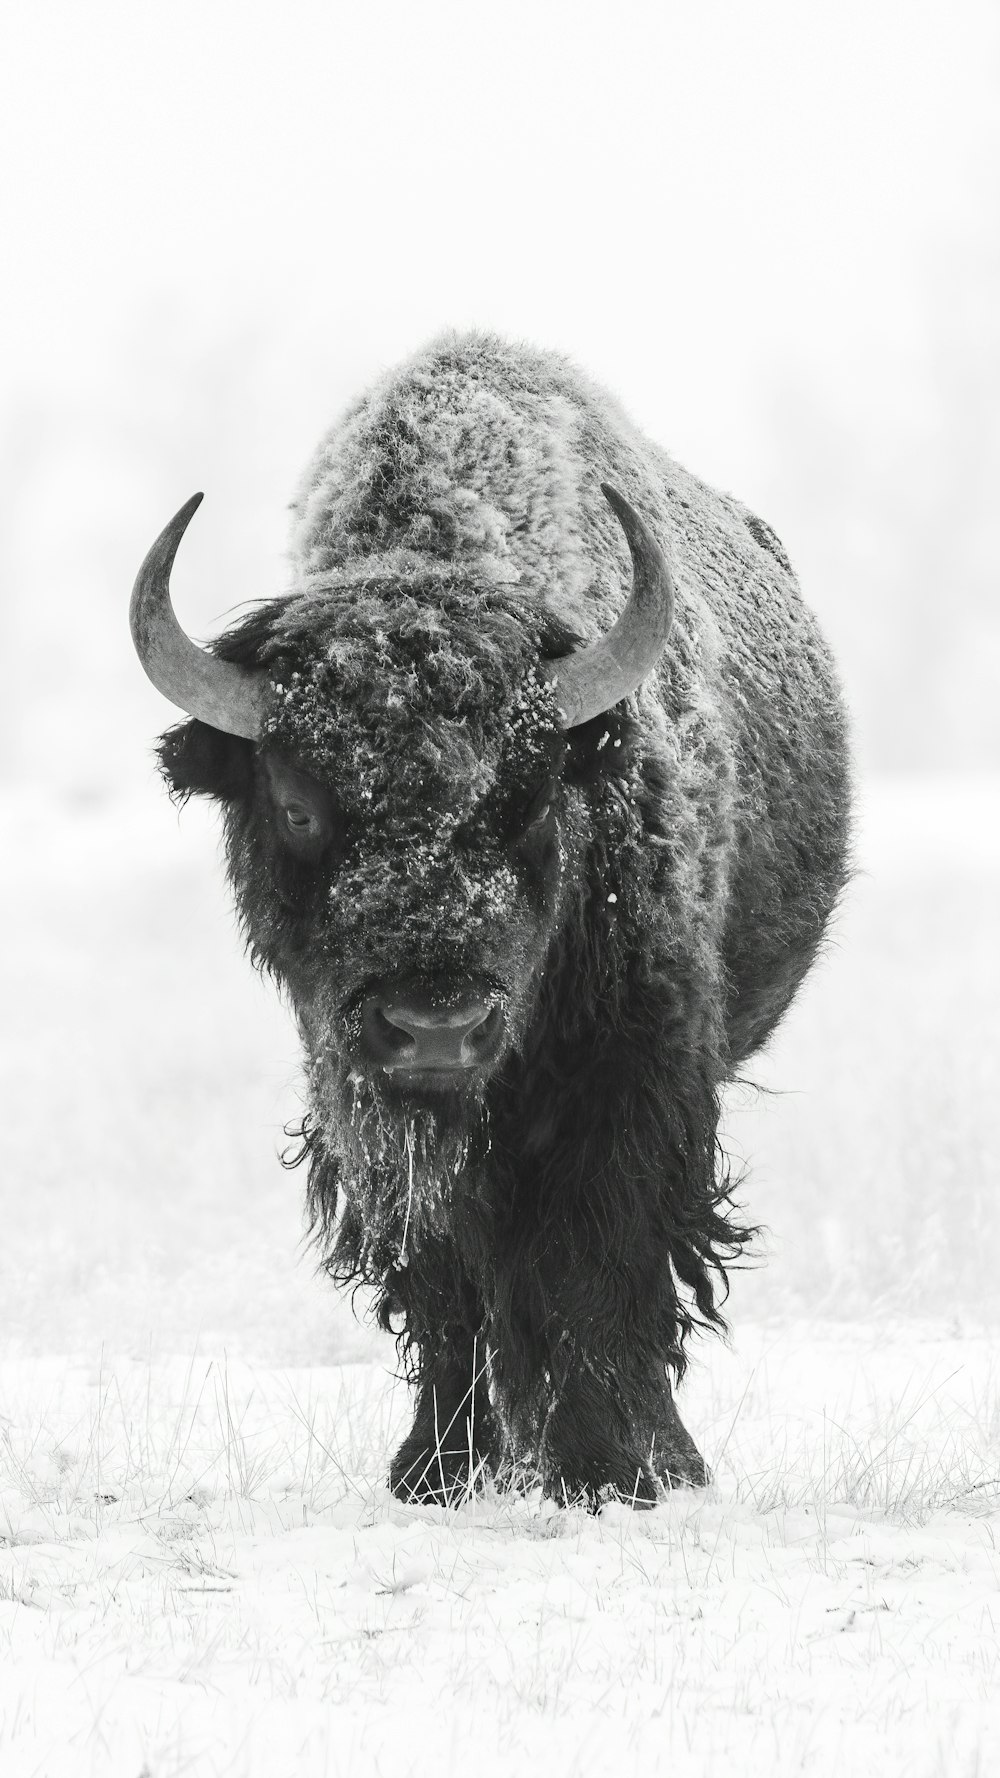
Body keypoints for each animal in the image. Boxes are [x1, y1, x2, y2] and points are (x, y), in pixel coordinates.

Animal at [130, 330, 846, 1500]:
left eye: (533, 795)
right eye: (298, 804)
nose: (436, 1027)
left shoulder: (636, 1073)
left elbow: (603, 1258)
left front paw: (617, 1469)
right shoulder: (360, 1093)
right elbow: (443, 1271)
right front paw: (436, 1467)